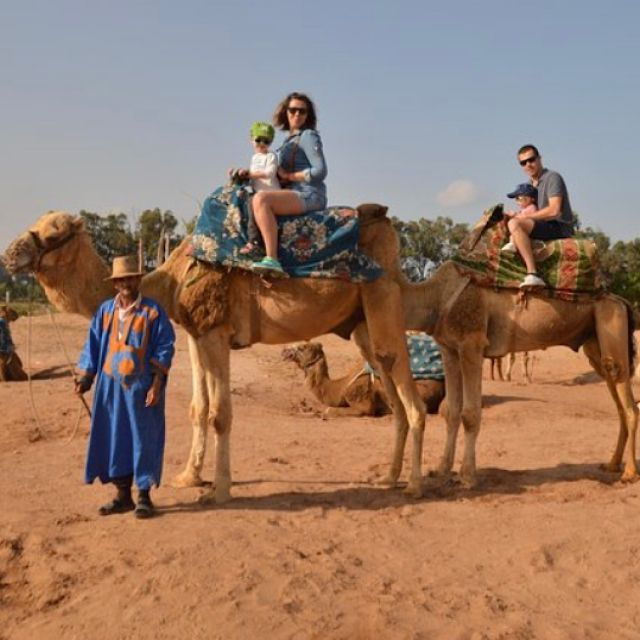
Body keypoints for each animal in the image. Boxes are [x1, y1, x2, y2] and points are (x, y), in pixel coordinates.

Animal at [4, 210, 427, 502]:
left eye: (54, 231)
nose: (9, 254)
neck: (168, 281)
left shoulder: (216, 332)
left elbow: (221, 413)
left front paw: (218, 490)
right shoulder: (195, 334)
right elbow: (198, 407)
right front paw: (188, 477)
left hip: (382, 298)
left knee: (410, 393)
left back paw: (414, 485)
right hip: (360, 324)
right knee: (390, 390)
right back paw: (389, 477)